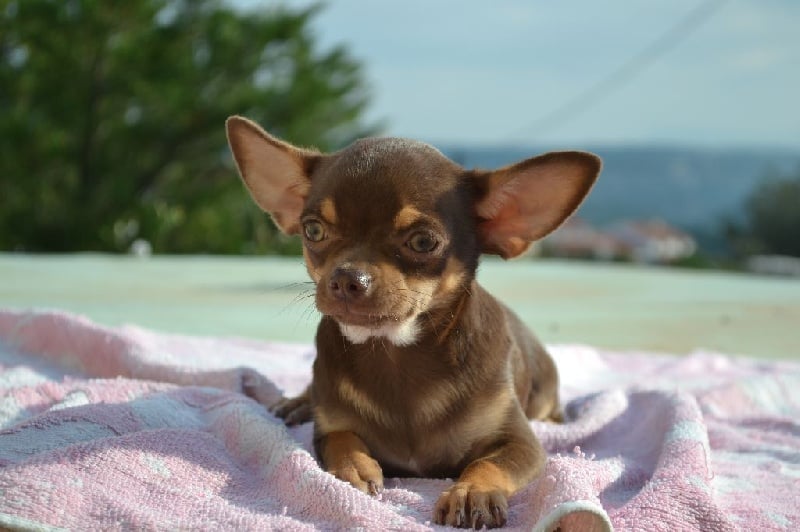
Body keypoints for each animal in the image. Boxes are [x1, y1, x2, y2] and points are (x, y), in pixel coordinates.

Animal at [225, 116, 600, 529]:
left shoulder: (521, 443)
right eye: (313, 231)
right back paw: (298, 402)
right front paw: (355, 466)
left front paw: (471, 492)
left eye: (423, 242)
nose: (346, 278)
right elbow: (342, 440)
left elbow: (487, 464)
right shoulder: (330, 428)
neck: (393, 353)